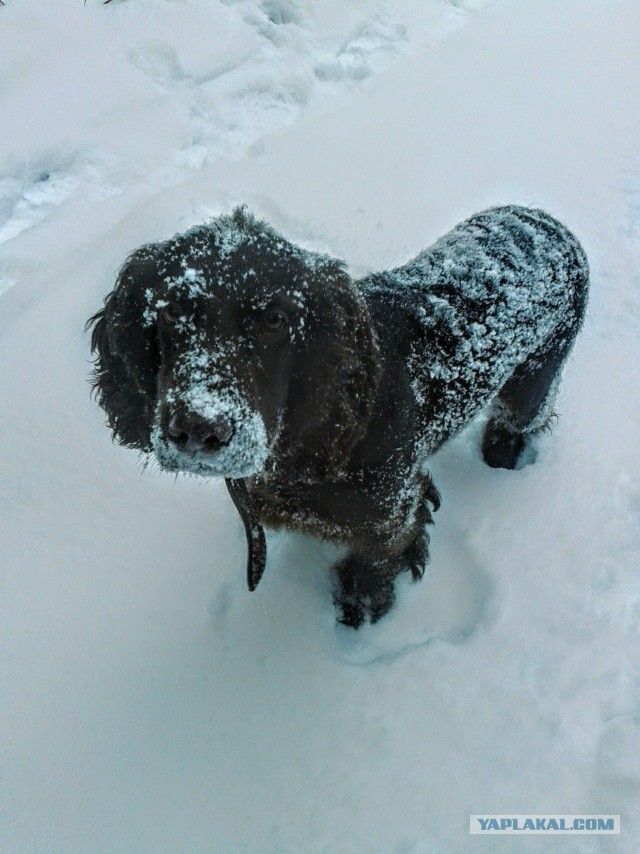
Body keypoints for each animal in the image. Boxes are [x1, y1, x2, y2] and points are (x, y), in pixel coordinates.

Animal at [87, 207, 588, 628]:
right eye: (171, 309)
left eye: (275, 319)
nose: (197, 429)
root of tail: (545, 219)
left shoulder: (394, 509)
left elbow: (380, 556)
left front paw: (361, 603)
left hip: (534, 380)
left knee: (522, 418)